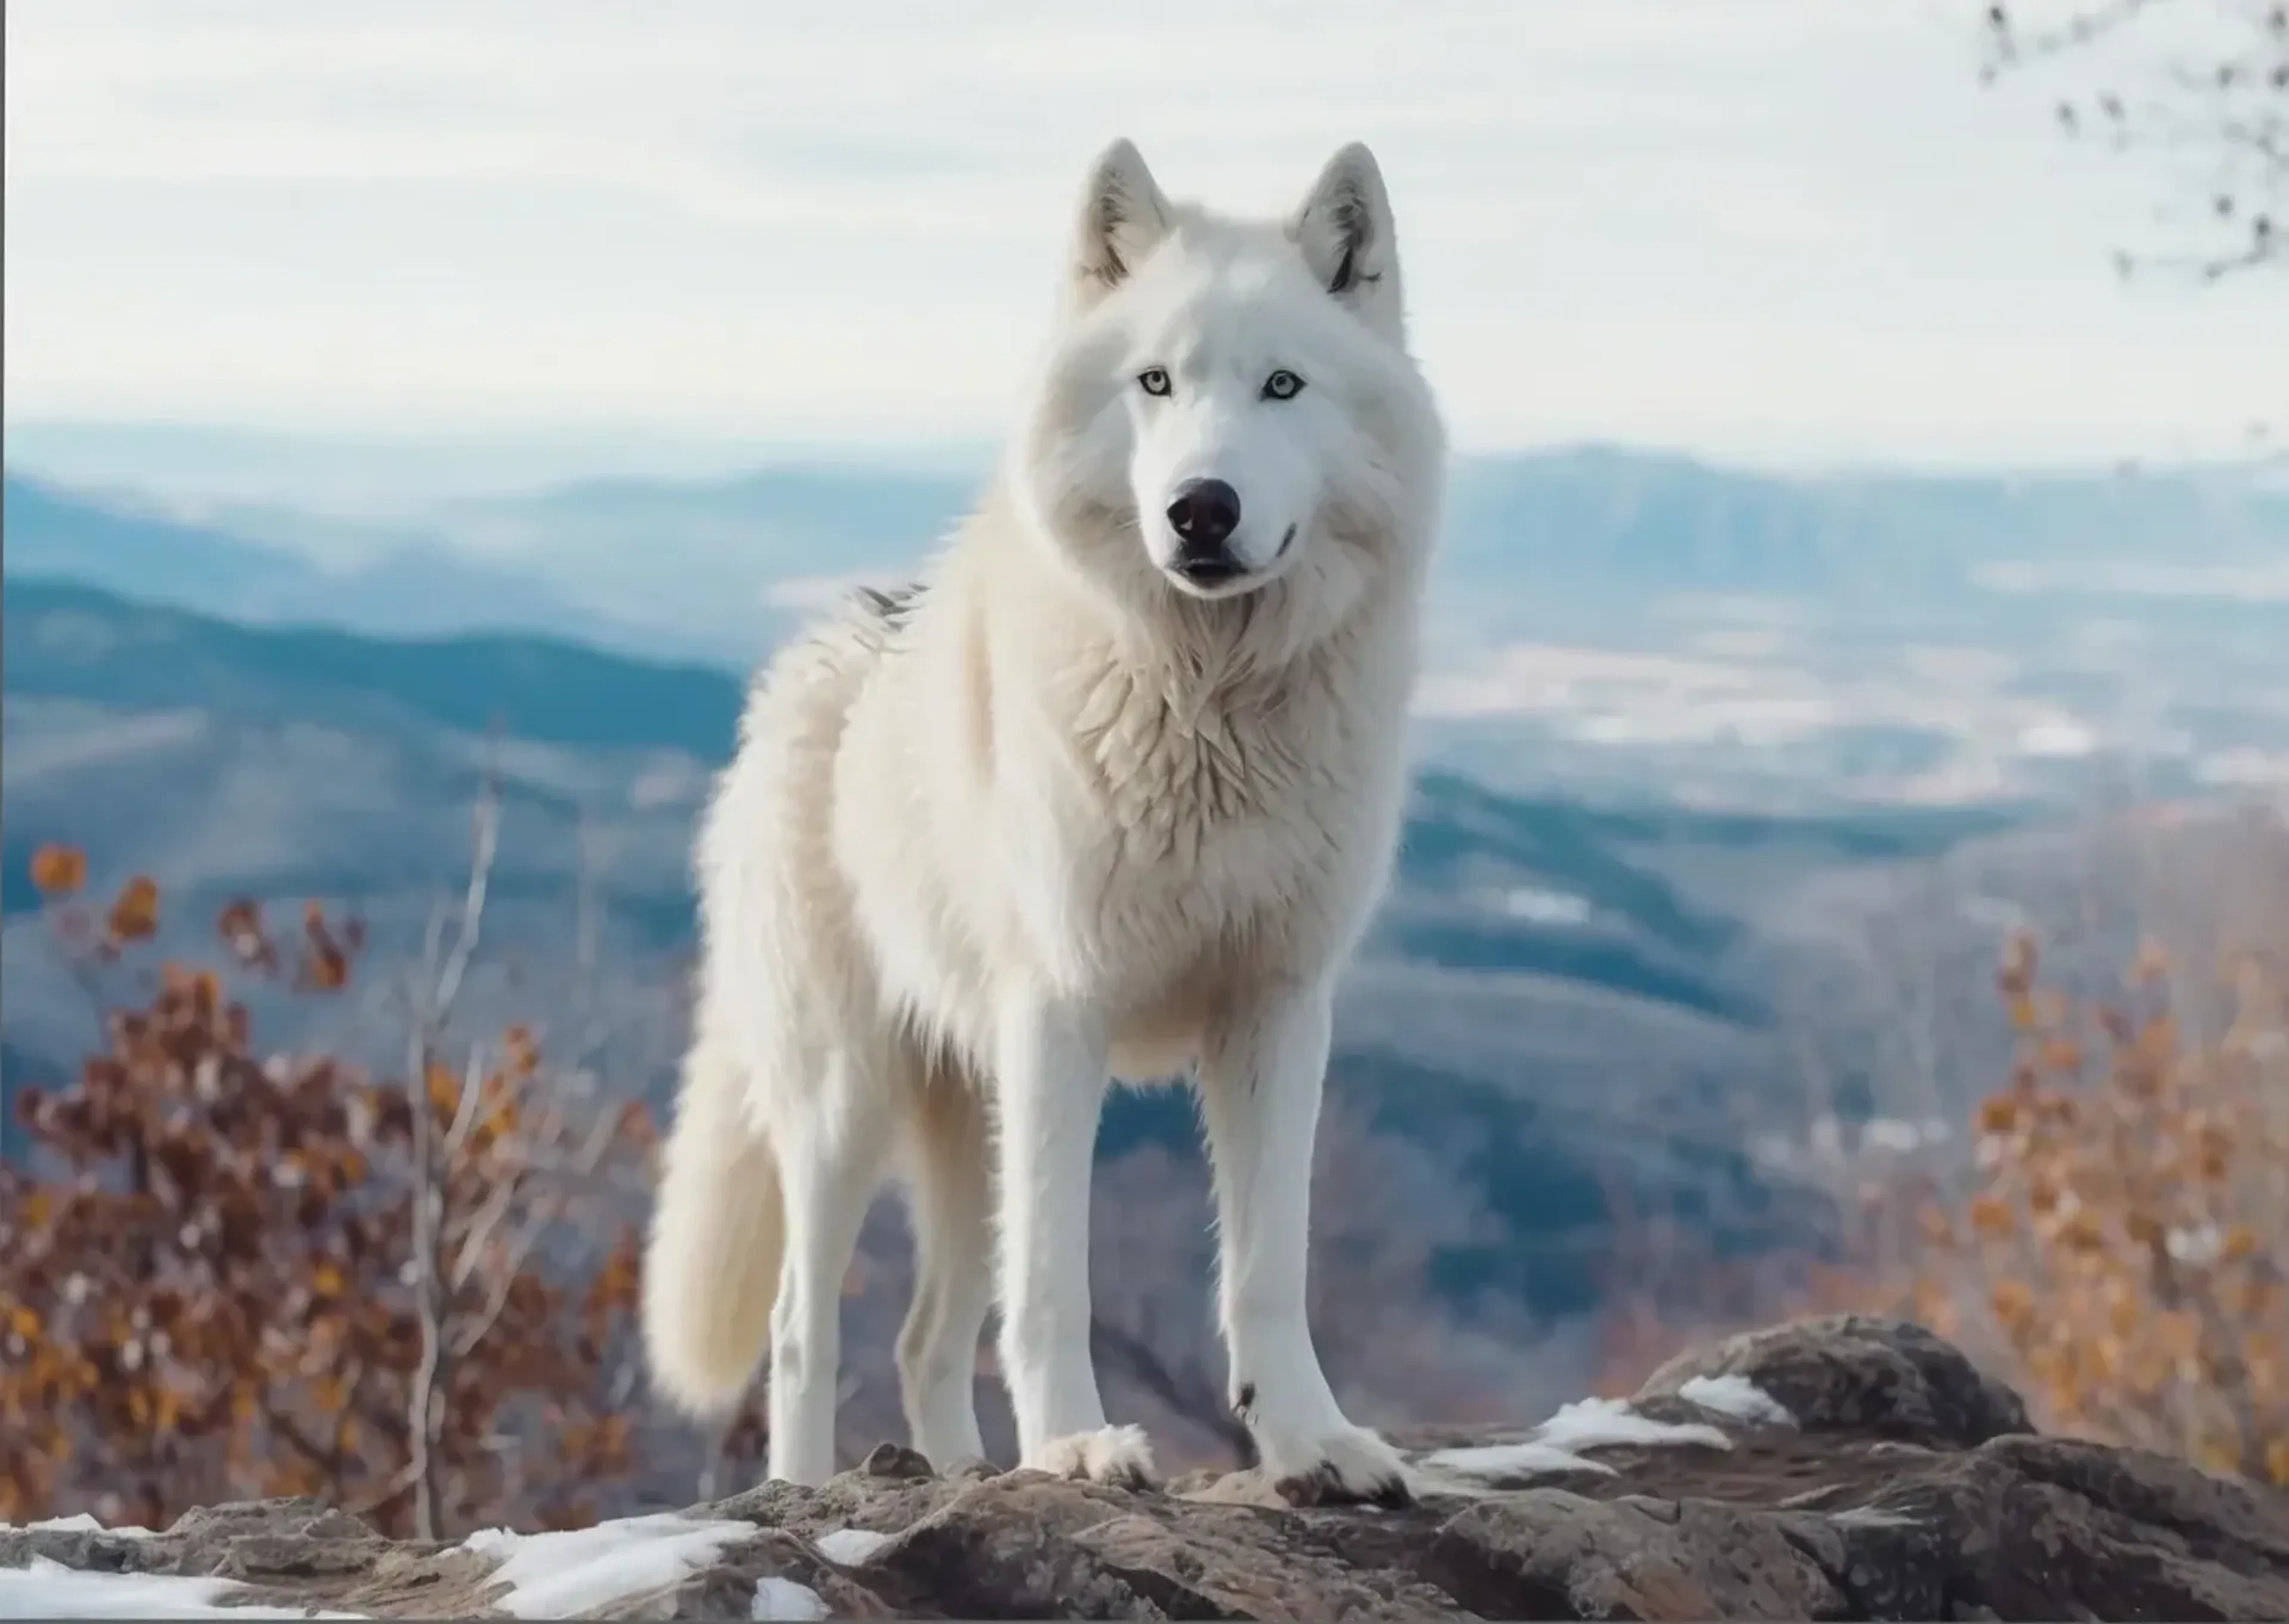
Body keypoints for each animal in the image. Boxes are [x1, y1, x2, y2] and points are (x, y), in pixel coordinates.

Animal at [641, 136, 1447, 1506]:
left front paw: (1311, 1441)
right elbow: (1057, 1285)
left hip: (972, 1123)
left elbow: (1268, 1271)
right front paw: (1077, 1446)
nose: (1201, 509)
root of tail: (825, 643)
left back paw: (963, 1471)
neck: (1209, 708)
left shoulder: (1280, 1009)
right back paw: (808, 1490)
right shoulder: (1064, 1011)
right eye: (1156, 383)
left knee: (924, 1339)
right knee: (805, 1333)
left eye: (1283, 386)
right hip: (849, 1107)